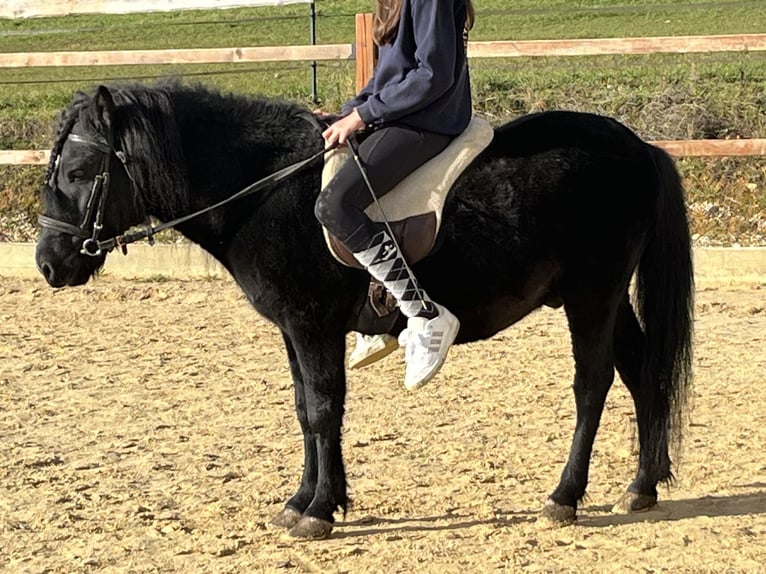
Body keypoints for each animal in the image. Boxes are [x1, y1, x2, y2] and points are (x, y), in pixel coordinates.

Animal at [35, 81, 694, 539]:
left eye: (79, 170)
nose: (48, 263)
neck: (265, 189)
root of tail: (639, 146)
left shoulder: (312, 325)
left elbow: (324, 411)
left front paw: (320, 511)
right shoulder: (295, 331)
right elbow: (304, 409)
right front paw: (303, 500)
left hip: (592, 295)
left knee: (594, 384)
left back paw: (564, 496)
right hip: (605, 298)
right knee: (644, 375)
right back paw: (642, 486)